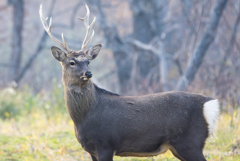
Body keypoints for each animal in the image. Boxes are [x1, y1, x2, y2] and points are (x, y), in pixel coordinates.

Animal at [39, 3, 219, 161]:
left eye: (88, 61)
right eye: (72, 62)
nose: (88, 73)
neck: (83, 117)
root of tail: (209, 104)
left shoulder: (106, 144)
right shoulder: (91, 150)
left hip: (190, 142)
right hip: (180, 147)